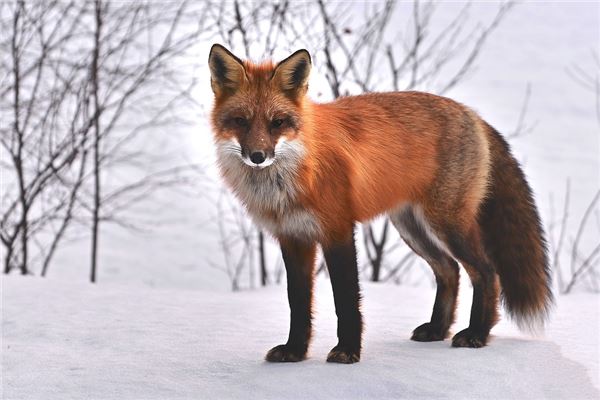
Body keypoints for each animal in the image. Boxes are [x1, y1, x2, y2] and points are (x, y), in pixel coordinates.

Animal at [207, 45, 552, 364]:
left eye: (277, 122)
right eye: (240, 121)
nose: (258, 156)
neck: (294, 174)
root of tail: (472, 114)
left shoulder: (338, 230)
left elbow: (346, 300)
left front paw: (347, 351)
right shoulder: (293, 238)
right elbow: (298, 303)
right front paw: (295, 352)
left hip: (447, 224)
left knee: (487, 272)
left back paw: (477, 334)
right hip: (412, 227)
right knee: (449, 270)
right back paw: (438, 330)